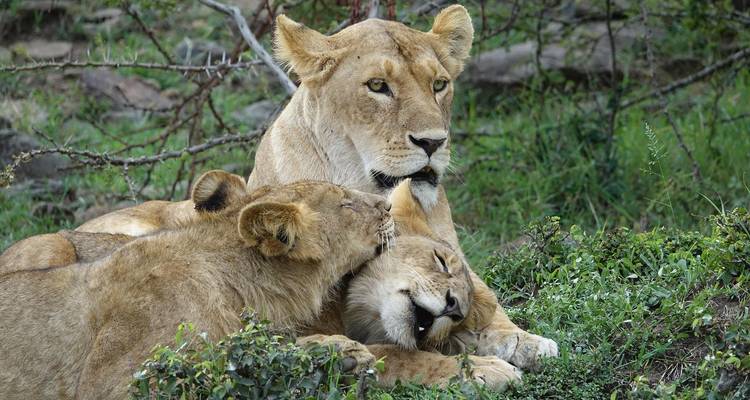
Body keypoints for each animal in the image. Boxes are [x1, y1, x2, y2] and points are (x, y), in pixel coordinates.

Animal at [0, 171, 393, 399]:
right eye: (346, 203)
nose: (388, 206)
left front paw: (342, 355)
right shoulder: (112, 385)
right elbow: (227, 363)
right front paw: (338, 353)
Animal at [74, 4, 558, 372]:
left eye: (439, 84)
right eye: (378, 86)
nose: (433, 142)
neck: (365, 183)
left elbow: (487, 295)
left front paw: (523, 340)